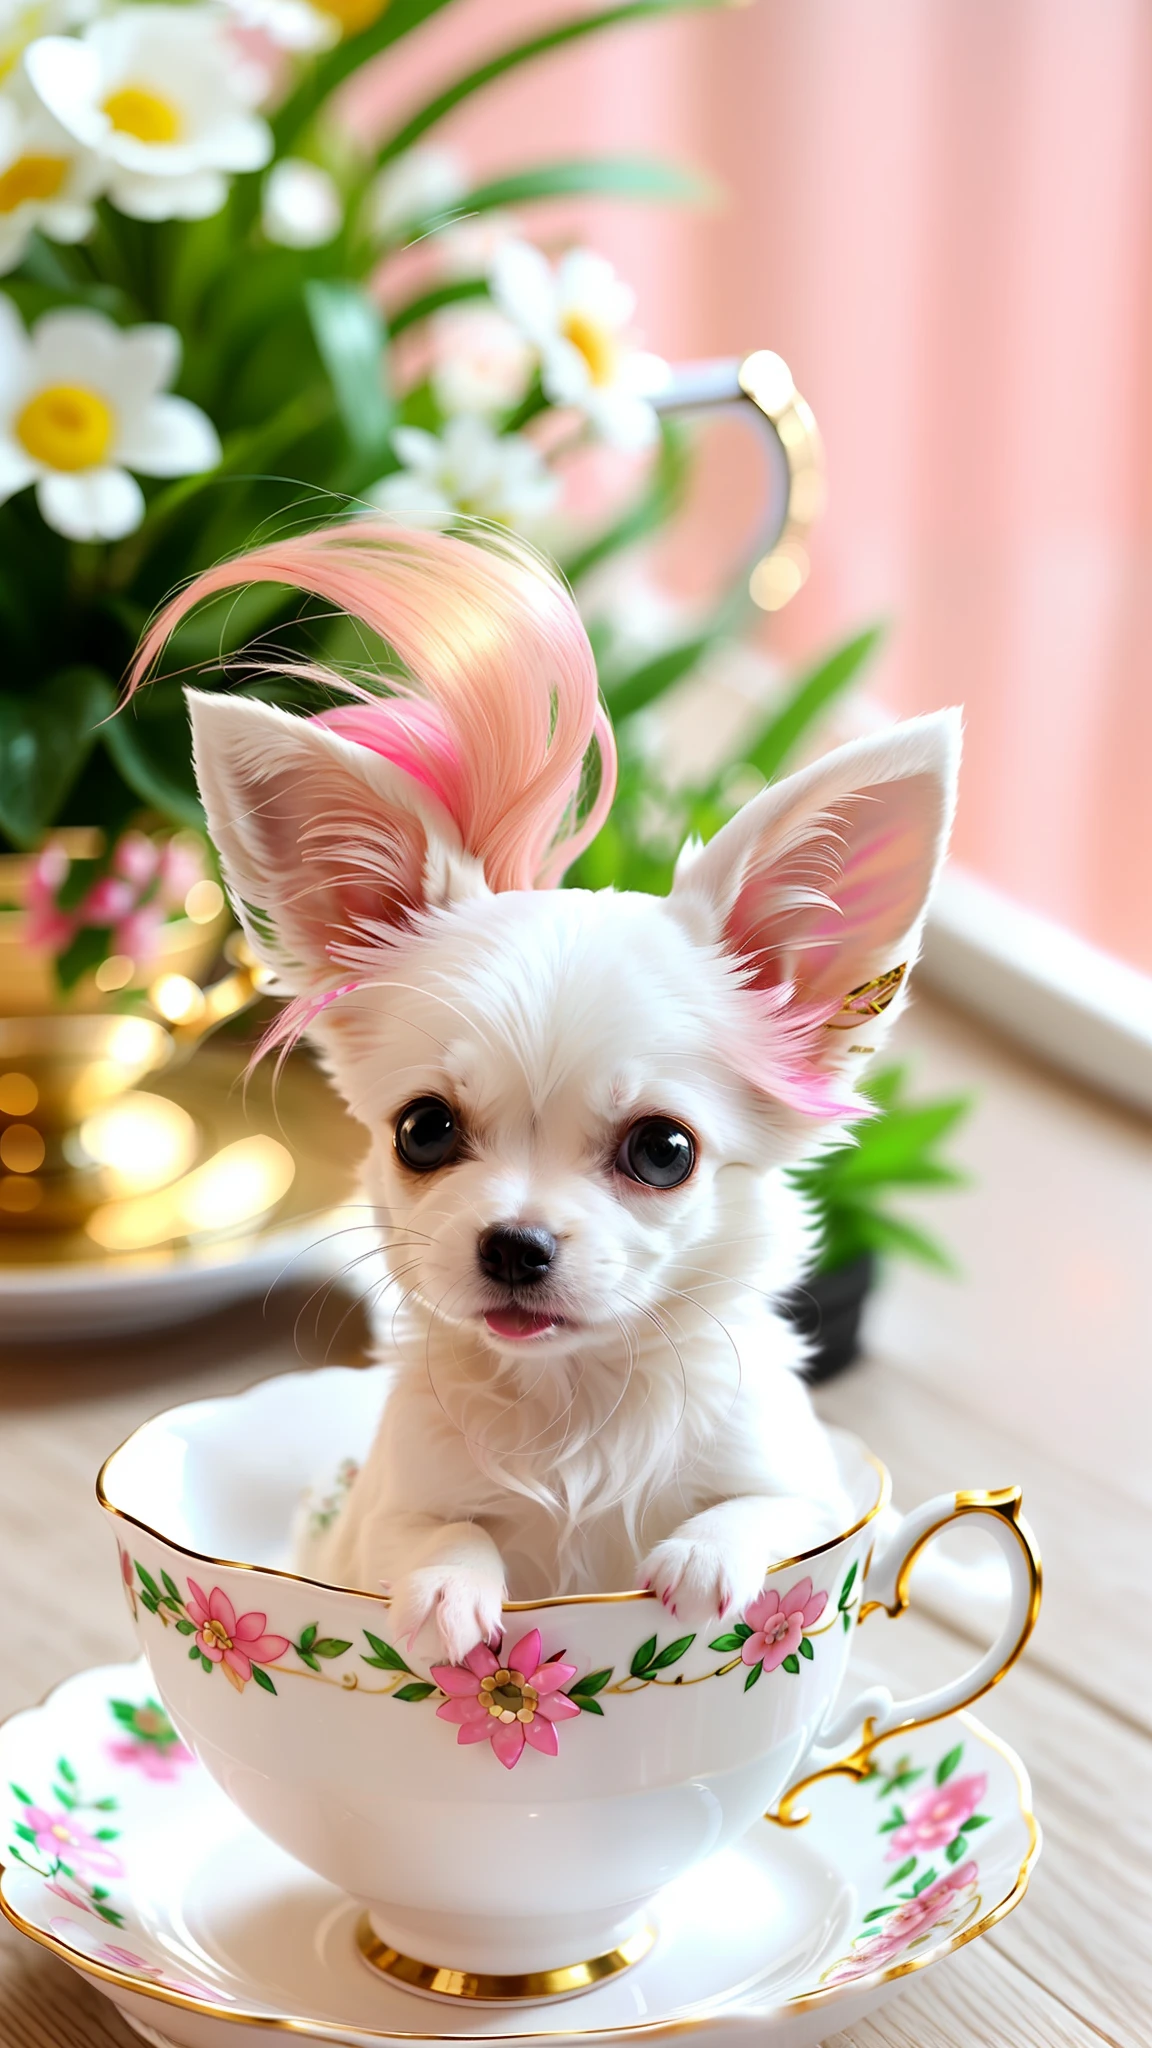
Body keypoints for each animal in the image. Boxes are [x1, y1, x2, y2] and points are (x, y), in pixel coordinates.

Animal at [136, 516, 959, 1662]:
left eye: (664, 1150)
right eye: (424, 1130)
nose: (515, 1243)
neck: (574, 1407)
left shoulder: (807, 1481)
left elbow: (770, 1507)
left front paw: (703, 1558)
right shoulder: (388, 1505)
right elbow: (427, 1534)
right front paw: (449, 1589)